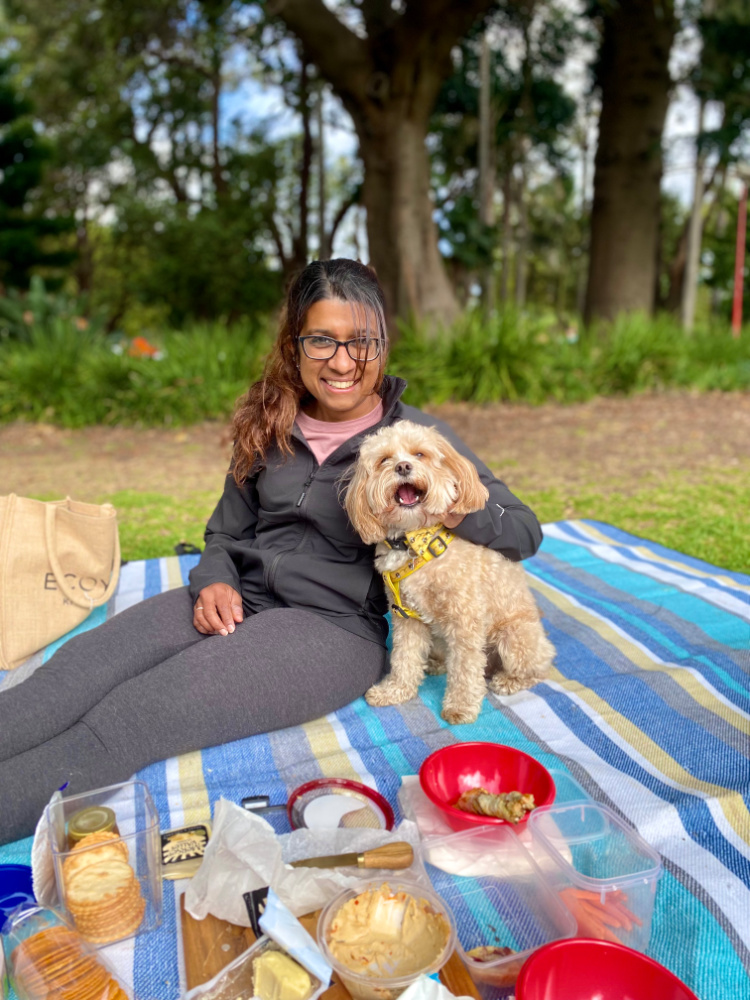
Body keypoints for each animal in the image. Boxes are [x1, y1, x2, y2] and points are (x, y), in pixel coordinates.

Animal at [346, 418, 552, 724]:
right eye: (384, 460)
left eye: (420, 454)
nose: (403, 467)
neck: (415, 542)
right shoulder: (405, 617)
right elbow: (404, 658)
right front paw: (395, 691)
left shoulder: (465, 620)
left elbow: (465, 669)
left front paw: (460, 707)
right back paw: (436, 663)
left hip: (514, 638)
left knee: (538, 669)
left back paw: (508, 680)